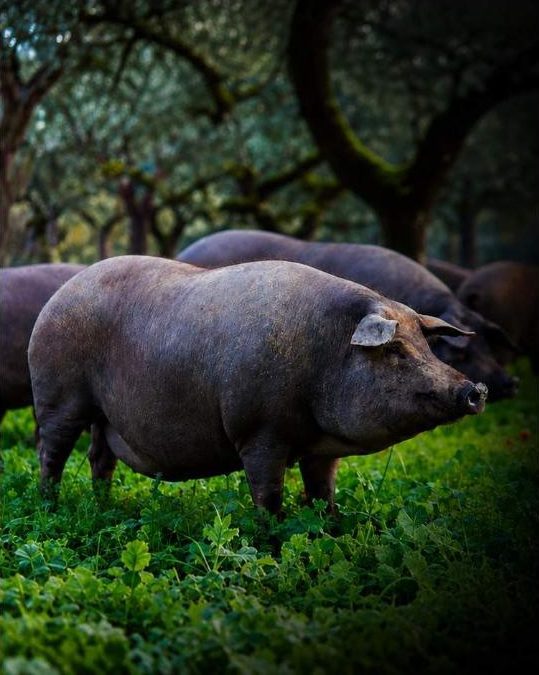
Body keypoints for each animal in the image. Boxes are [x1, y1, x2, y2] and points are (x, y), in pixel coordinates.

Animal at [29, 255, 487, 512]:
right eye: (395, 352)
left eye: (426, 348)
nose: (475, 390)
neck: (323, 355)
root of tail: (55, 299)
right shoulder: (259, 431)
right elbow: (268, 496)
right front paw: (272, 540)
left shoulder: (321, 450)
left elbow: (324, 493)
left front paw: (331, 526)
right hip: (58, 395)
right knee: (50, 453)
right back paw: (50, 507)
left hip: (103, 416)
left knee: (99, 458)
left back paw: (103, 507)